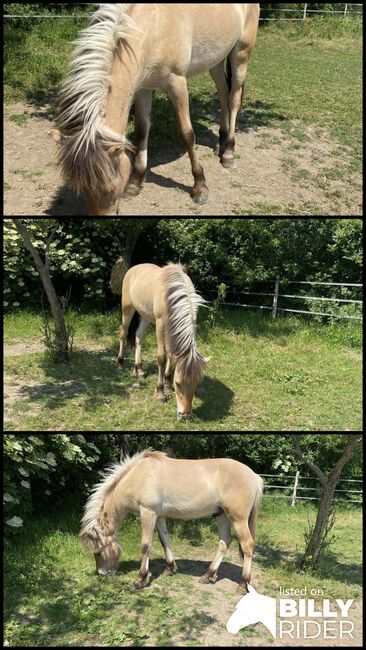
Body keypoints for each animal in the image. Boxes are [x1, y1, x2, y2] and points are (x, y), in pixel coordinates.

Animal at [49, 3, 260, 215]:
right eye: (81, 189)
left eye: (110, 187)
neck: (151, 27)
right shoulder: (144, 88)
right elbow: (142, 131)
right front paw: (135, 183)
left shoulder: (177, 84)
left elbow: (187, 135)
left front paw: (200, 187)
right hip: (216, 60)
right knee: (223, 94)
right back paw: (220, 144)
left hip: (241, 54)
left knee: (233, 99)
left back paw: (228, 152)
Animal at [80, 450, 264, 592]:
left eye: (97, 553)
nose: (102, 573)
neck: (138, 476)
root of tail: (254, 476)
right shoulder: (159, 516)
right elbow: (164, 540)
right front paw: (170, 568)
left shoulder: (148, 513)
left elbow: (145, 545)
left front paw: (140, 579)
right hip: (222, 516)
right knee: (224, 542)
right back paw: (208, 575)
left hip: (238, 519)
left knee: (247, 544)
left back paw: (243, 584)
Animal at [117, 264, 209, 420]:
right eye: (178, 383)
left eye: (196, 383)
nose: (185, 414)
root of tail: (134, 268)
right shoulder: (160, 325)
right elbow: (162, 357)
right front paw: (160, 393)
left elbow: (172, 356)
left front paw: (166, 383)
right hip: (128, 309)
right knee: (123, 334)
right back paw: (120, 364)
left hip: (145, 315)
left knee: (138, 336)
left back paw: (139, 369)